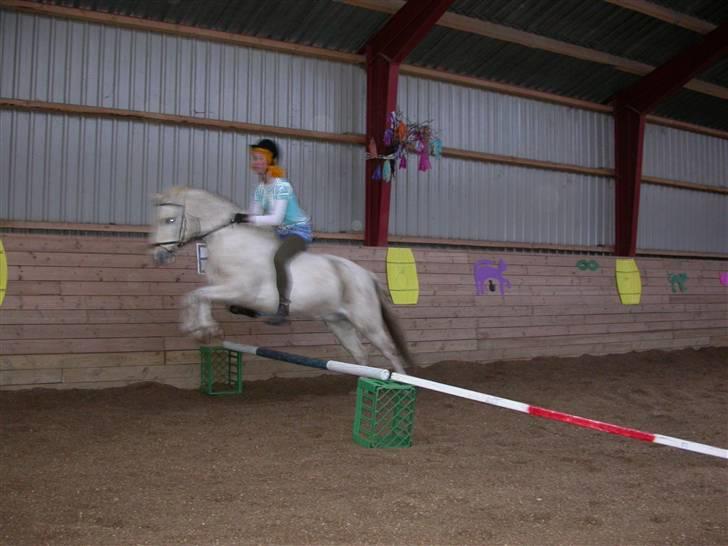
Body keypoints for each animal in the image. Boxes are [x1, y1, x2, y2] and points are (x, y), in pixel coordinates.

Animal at [148, 185, 416, 372]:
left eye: (170, 220)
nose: (158, 255)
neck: (230, 240)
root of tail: (366, 275)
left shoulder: (240, 290)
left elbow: (197, 295)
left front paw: (204, 328)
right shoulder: (224, 290)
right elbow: (195, 296)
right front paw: (198, 328)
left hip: (366, 321)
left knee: (389, 351)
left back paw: (399, 386)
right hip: (339, 323)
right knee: (360, 354)